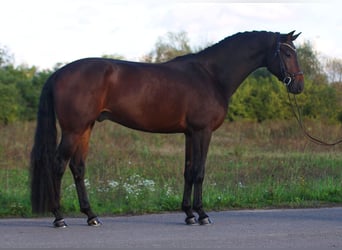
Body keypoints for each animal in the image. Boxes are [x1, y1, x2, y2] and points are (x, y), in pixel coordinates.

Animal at [30, 30, 302, 228]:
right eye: (286, 53)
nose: (298, 85)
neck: (210, 75)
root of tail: (58, 73)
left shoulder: (190, 133)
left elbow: (188, 171)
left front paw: (189, 214)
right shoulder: (203, 131)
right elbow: (199, 172)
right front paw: (202, 215)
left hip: (85, 129)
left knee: (78, 168)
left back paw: (91, 216)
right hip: (73, 130)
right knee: (57, 166)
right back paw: (59, 218)